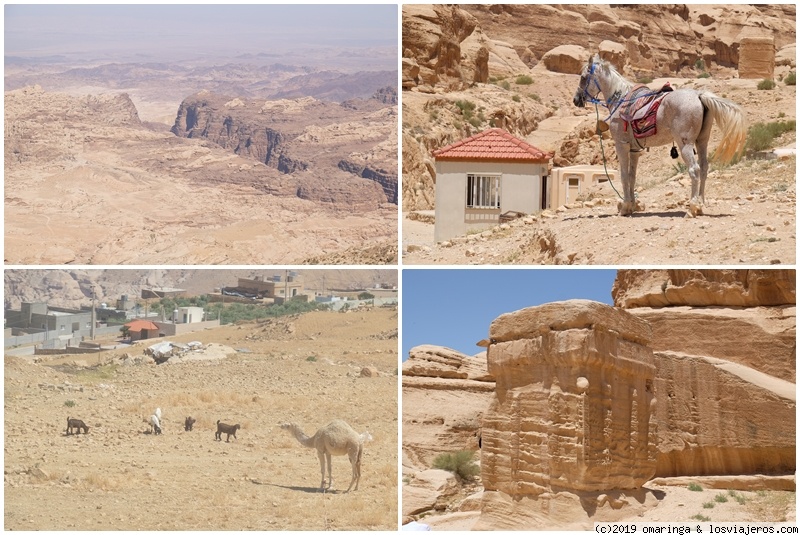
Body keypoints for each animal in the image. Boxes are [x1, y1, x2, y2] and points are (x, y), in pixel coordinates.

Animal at [572, 52, 748, 216]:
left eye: (583, 77)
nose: (576, 100)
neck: (621, 100)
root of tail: (699, 95)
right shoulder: (634, 150)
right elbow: (632, 176)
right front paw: (633, 205)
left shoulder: (622, 145)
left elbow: (623, 176)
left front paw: (625, 207)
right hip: (702, 141)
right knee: (704, 168)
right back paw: (701, 204)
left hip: (685, 144)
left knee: (694, 170)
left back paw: (693, 207)